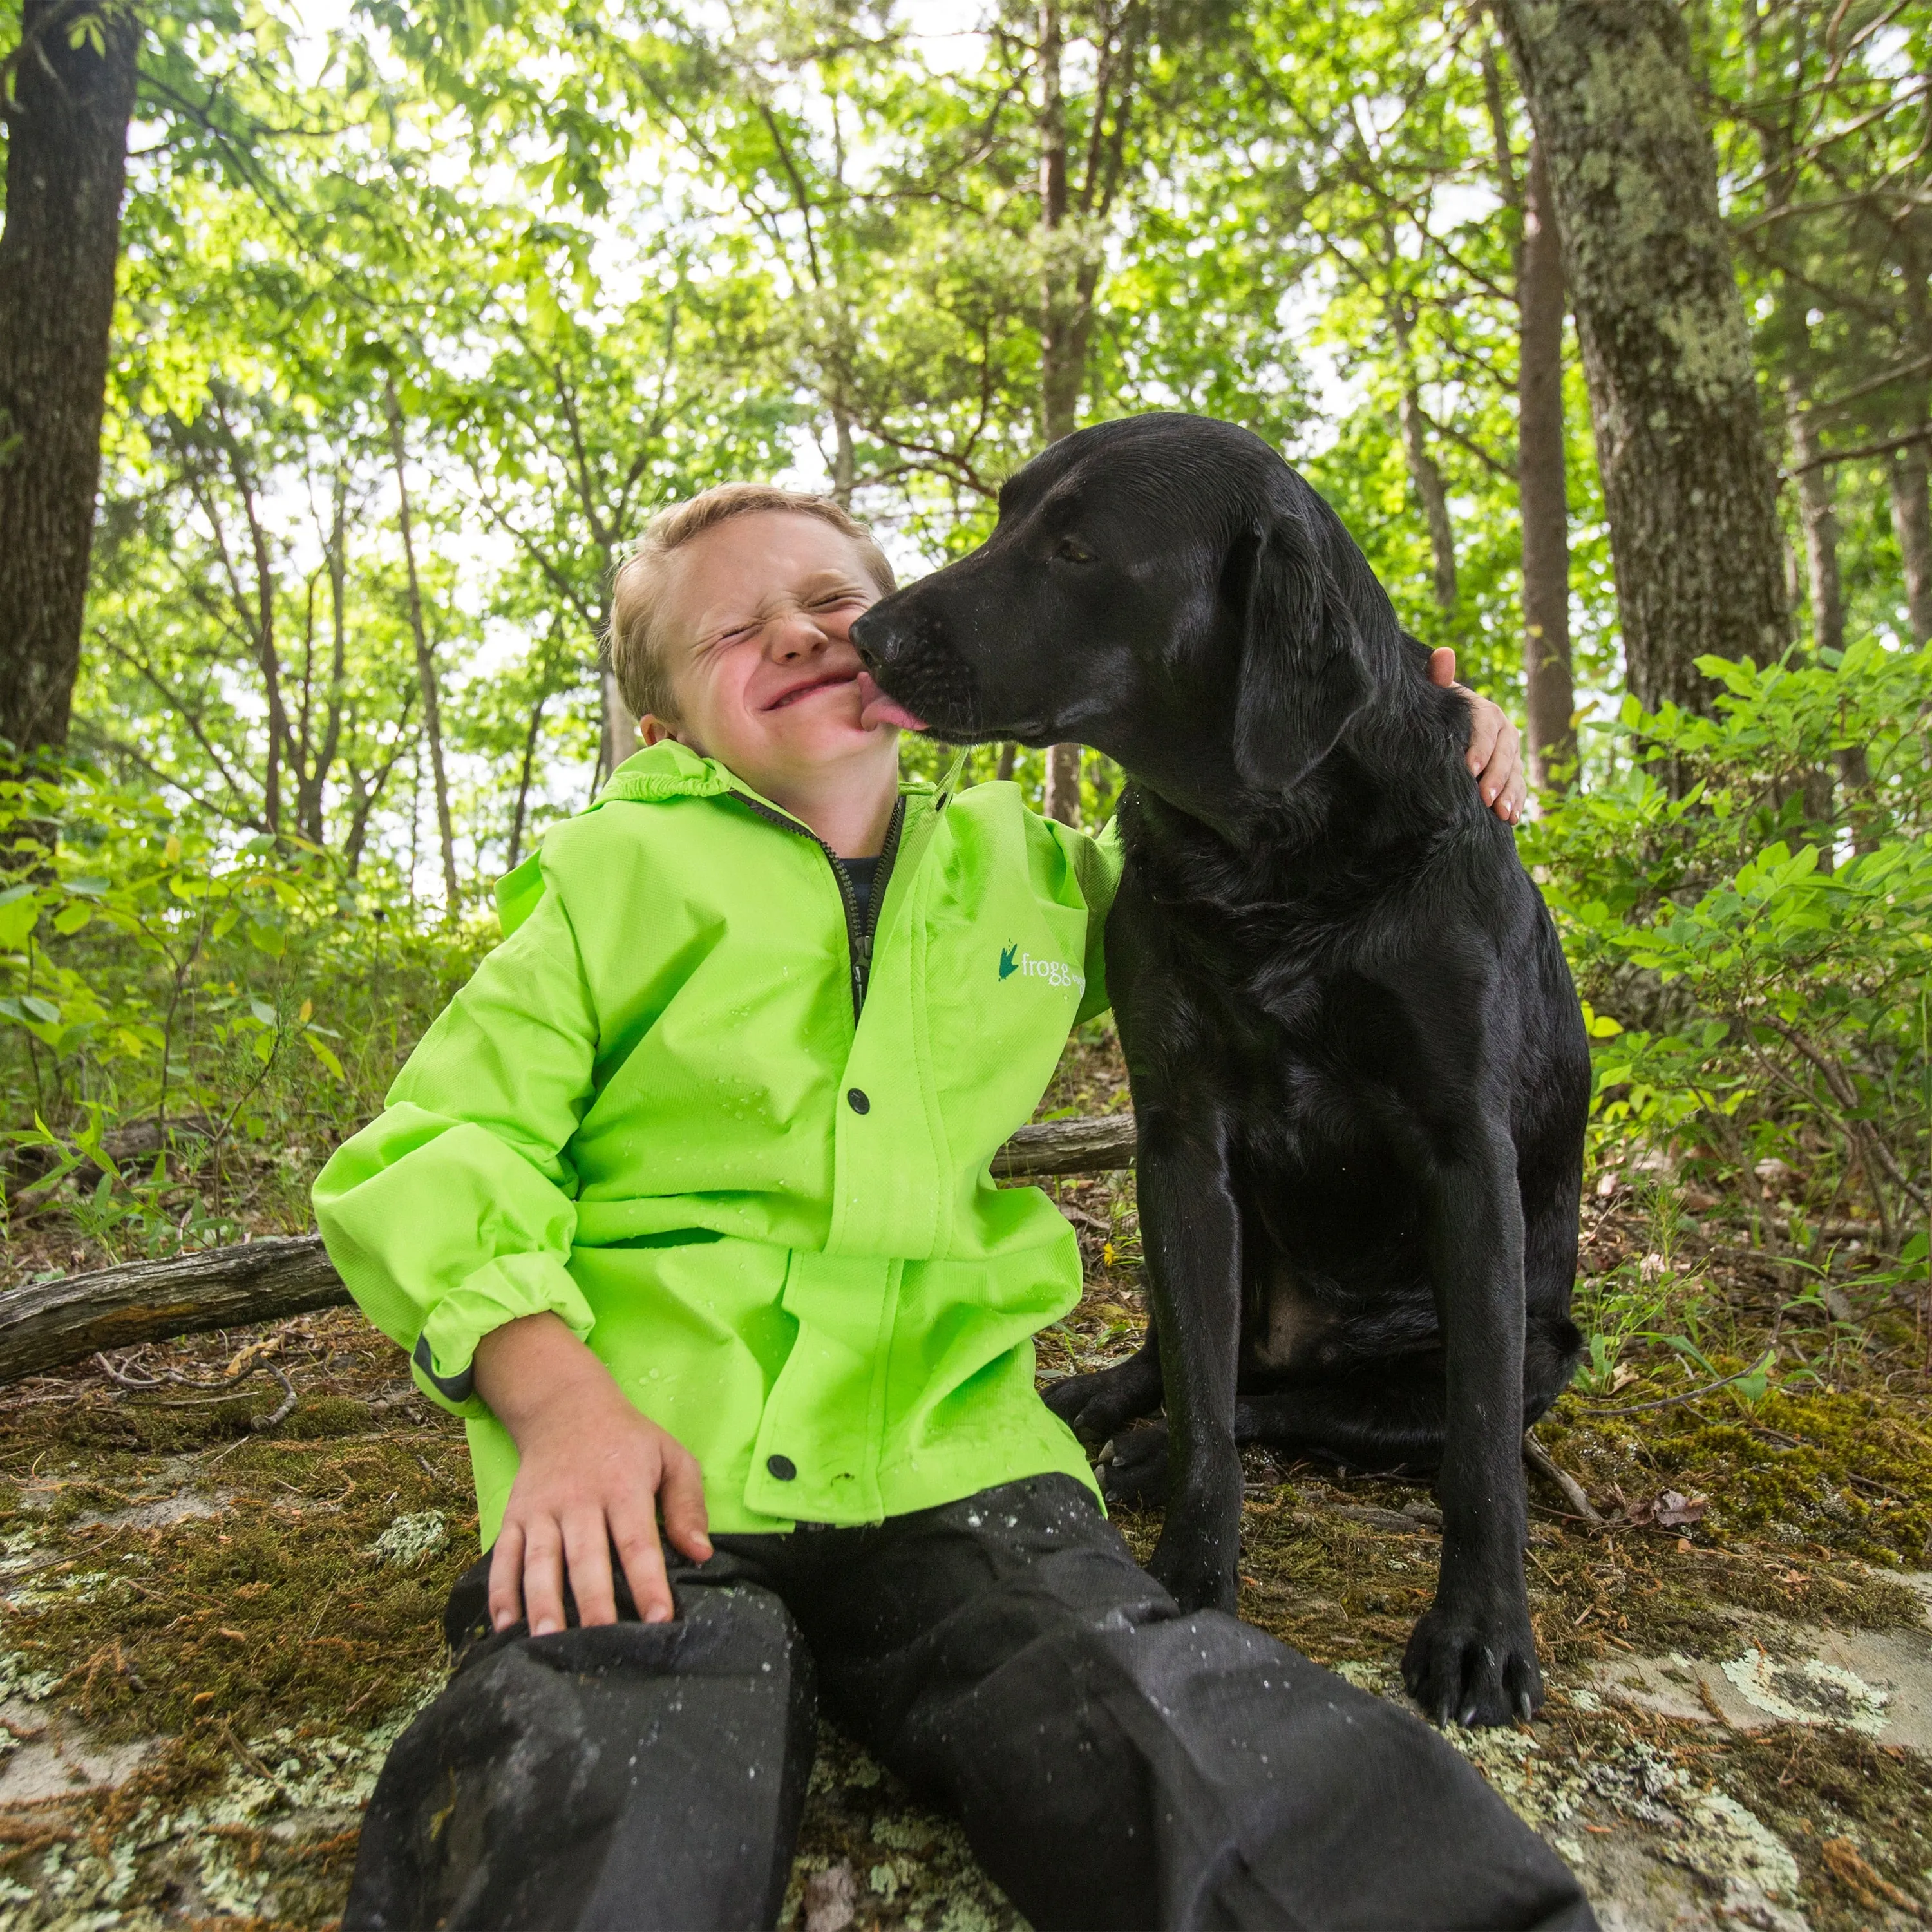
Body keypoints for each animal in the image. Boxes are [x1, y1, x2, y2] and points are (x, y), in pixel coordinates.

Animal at [854, 412, 1592, 1723]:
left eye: (1079, 549)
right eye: (1006, 514)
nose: (863, 636)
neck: (1271, 860)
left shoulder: (1467, 1160)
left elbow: (1478, 1454)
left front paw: (1482, 1629)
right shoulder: (1181, 1143)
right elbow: (1199, 1396)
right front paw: (1196, 1580)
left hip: (1536, 1346)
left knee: (1305, 1406)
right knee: (1200, 1368)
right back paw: (1099, 1403)